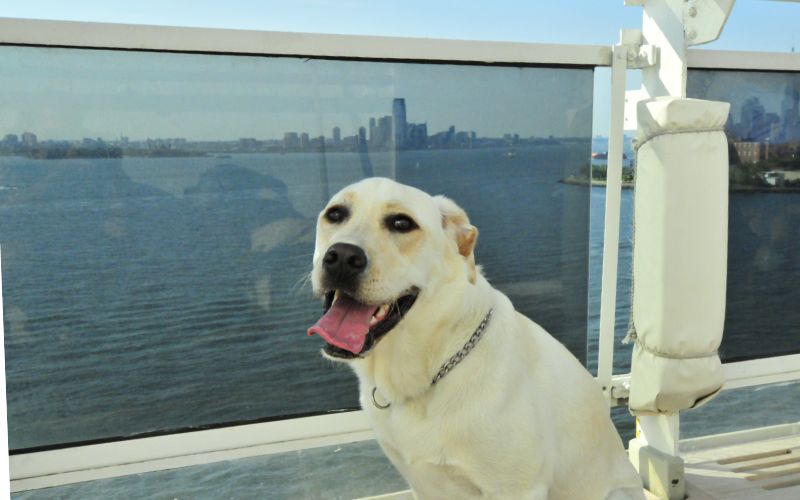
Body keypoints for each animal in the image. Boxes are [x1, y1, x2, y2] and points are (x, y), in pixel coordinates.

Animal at [306, 178, 644, 498]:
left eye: (402, 223)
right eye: (335, 214)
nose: (342, 256)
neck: (433, 365)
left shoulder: (517, 489)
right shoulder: (422, 486)